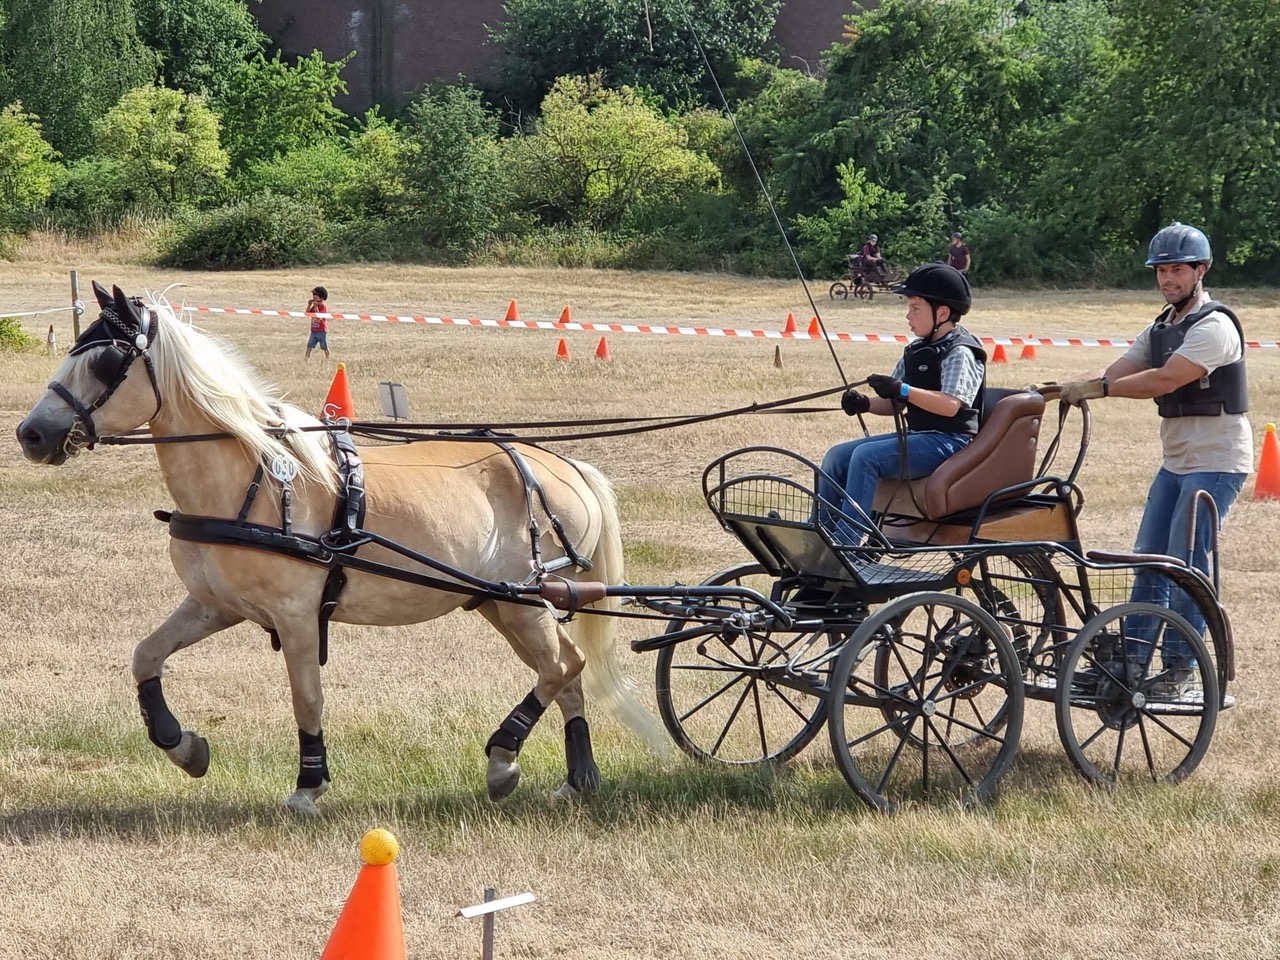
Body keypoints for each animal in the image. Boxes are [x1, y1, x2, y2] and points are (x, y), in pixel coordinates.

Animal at [15, 281, 665, 814]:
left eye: (105, 361)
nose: (31, 433)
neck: (253, 477)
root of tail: (567, 465)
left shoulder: (298, 616)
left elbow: (307, 699)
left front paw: (309, 784)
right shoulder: (215, 605)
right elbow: (145, 657)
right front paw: (184, 746)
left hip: (522, 602)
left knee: (562, 667)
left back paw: (504, 760)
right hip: (504, 604)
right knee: (569, 673)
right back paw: (577, 777)